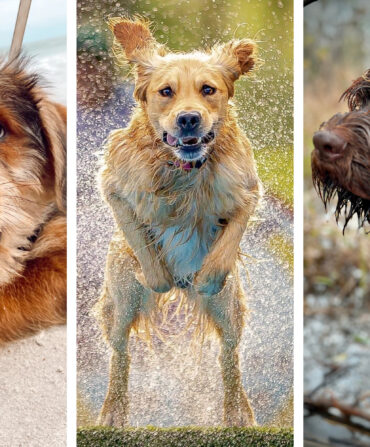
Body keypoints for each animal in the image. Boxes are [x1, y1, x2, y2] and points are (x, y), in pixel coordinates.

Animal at [97, 19, 262, 428]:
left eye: (208, 89)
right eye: (165, 91)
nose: (189, 118)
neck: (184, 169)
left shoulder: (247, 190)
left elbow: (228, 240)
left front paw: (207, 276)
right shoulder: (115, 187)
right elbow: (145, 250)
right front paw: (156, 274)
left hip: (229, 311)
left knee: (229, 355)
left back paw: (237, 414)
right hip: (121, 301)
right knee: (120, 352)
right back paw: (113, 412)